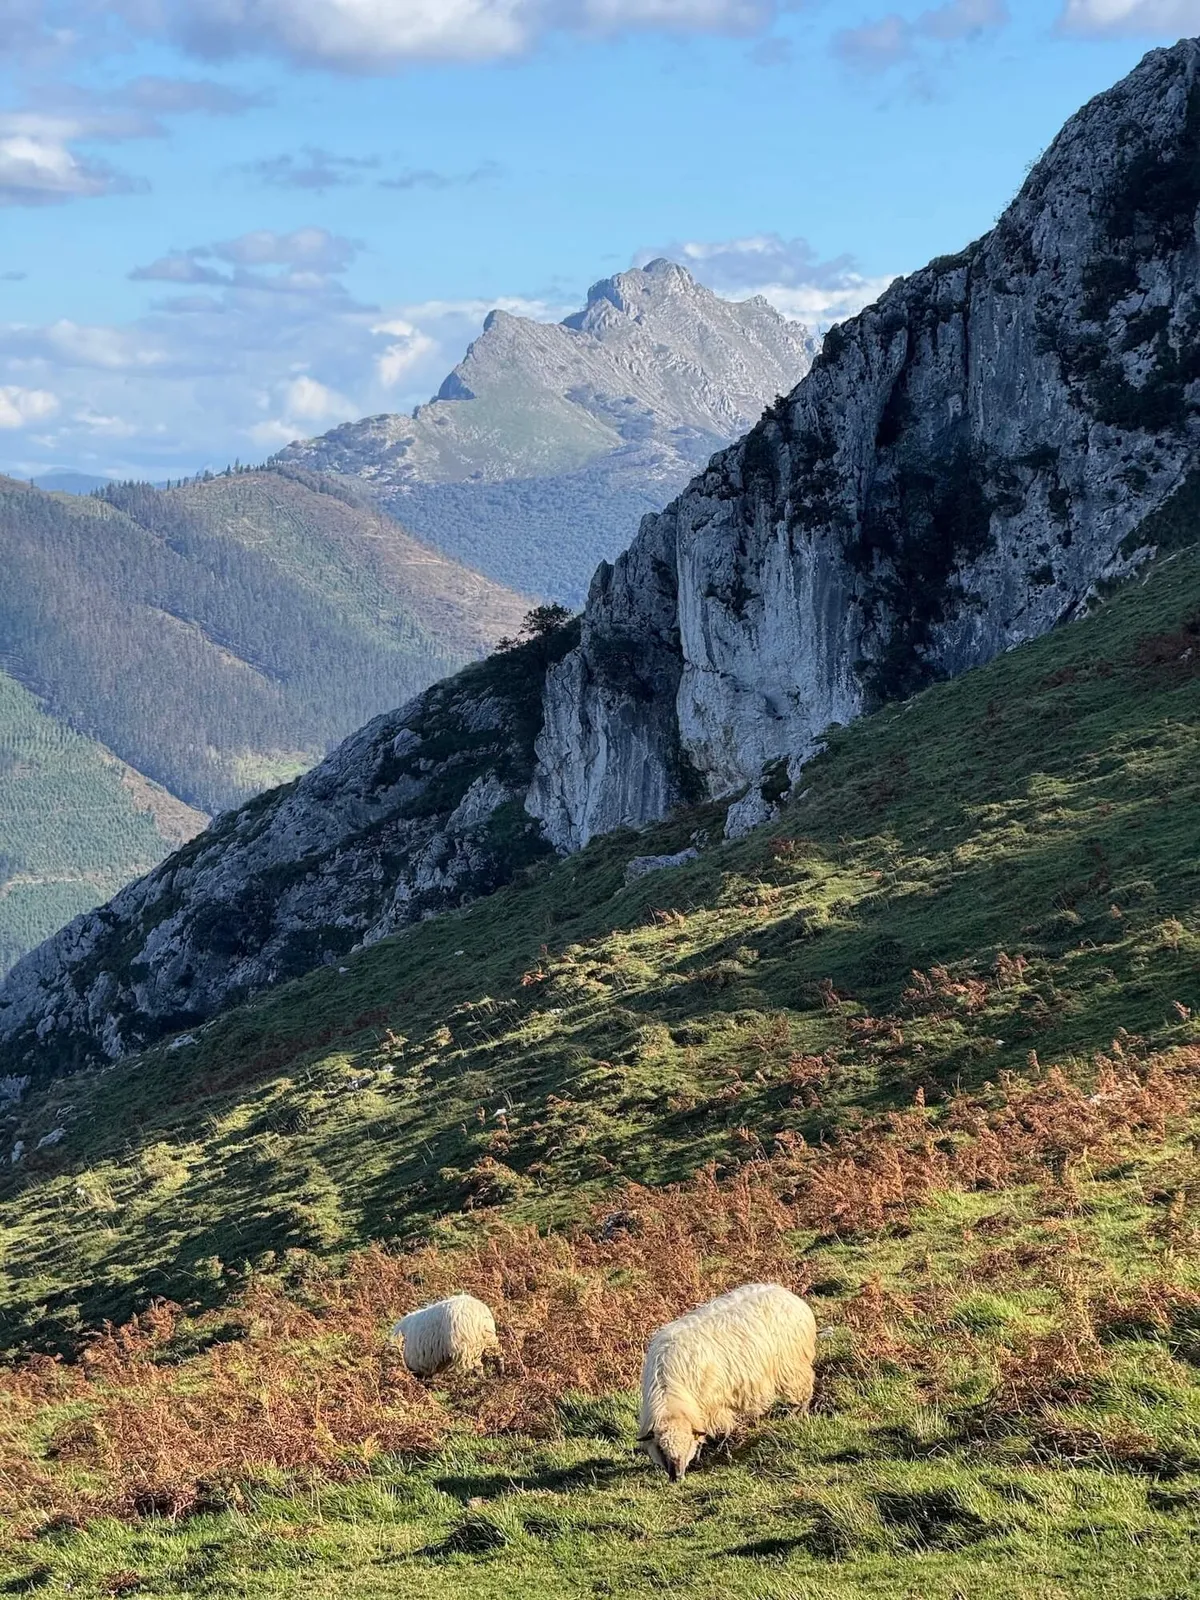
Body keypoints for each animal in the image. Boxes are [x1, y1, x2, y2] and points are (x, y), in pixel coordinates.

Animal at [638, 1283, 817, 1482]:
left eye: (687, 1443)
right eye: (661, 1449)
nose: (676, 1477)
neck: (669, 1389)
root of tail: (789, 1296)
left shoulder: (712, 1405)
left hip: (793, 1368)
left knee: (804, 1390)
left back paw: (798, 1413)